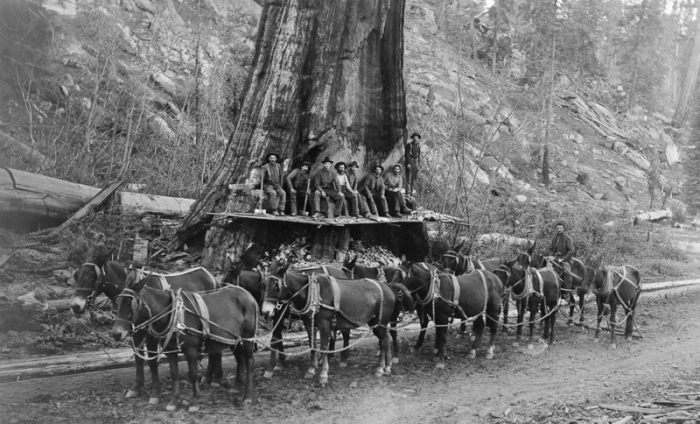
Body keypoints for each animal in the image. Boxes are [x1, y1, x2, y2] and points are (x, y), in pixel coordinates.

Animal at [69, 248, 216, 400]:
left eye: (92, 276)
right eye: (76, 275)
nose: (75, 306)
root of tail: (209, 273)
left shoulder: (151, 334)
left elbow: (151, 361)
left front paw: (155, 391)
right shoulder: (134, 331)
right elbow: (138, 358)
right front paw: (136, 387)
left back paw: (207, 378)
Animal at [112, 276, 258, 410]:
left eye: (129, 304)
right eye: (117, 302)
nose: (116, 333)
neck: (173, 315)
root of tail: (248, 294)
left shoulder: (191, 350)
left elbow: (193, 374)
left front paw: (195, 400)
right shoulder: (170, 350)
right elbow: (174, 373)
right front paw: (173, 401)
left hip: (248, 336)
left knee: (249, 360)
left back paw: (247, 396)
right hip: (232, 337)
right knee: (239, 356)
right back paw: (237, 384)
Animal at [262, 268, 412, 384]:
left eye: (275, 285)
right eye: (264, 284)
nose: (265, 311)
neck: (313, 291)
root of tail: (388, 287)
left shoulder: (324, 324)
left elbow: (323, 347)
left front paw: (323, 373)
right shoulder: (309, 323)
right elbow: (312, 346)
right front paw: (311, 369)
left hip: (380, 322)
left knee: (384, 340)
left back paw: (381, 368)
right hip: (375, 322)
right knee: (385, 339)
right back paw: (387, 366)